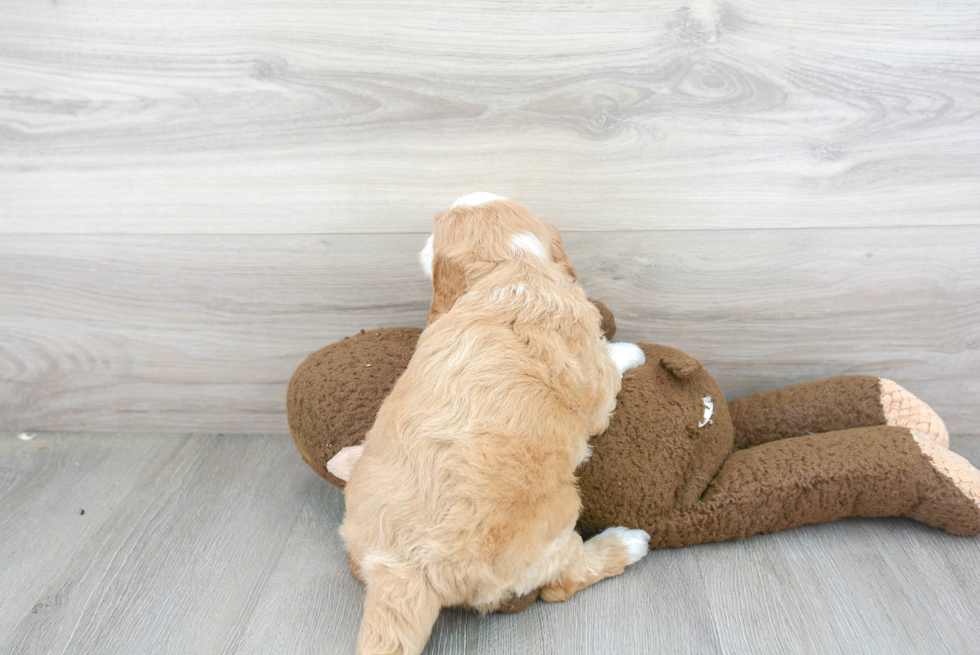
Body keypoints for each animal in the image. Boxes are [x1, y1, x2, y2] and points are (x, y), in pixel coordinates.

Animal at [342, 192, 652, 652]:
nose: (420, 241)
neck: (512, 266)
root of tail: (407, 566)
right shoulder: (596, 385)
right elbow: (609, 368)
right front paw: (629, 350)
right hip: (556, 524)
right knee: (561, 582)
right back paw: (628, 543)